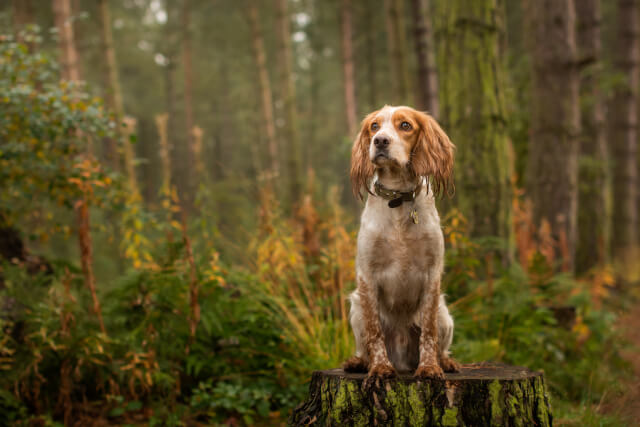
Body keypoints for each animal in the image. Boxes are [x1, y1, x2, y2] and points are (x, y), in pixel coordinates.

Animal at [344, 105, 460, 380]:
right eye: (374, 126)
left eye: (405, 125)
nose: (379, 141)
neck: (397, 198)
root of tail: (403, 360)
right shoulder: (367, 276)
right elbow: (375, 332)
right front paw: (379, 368)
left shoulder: (432, 274)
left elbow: (428, 331)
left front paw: (429, 367)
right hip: (356, 307)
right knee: (365, 345)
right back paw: (359, 362)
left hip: (444, 314)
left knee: (440, 344)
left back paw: (445, 362)